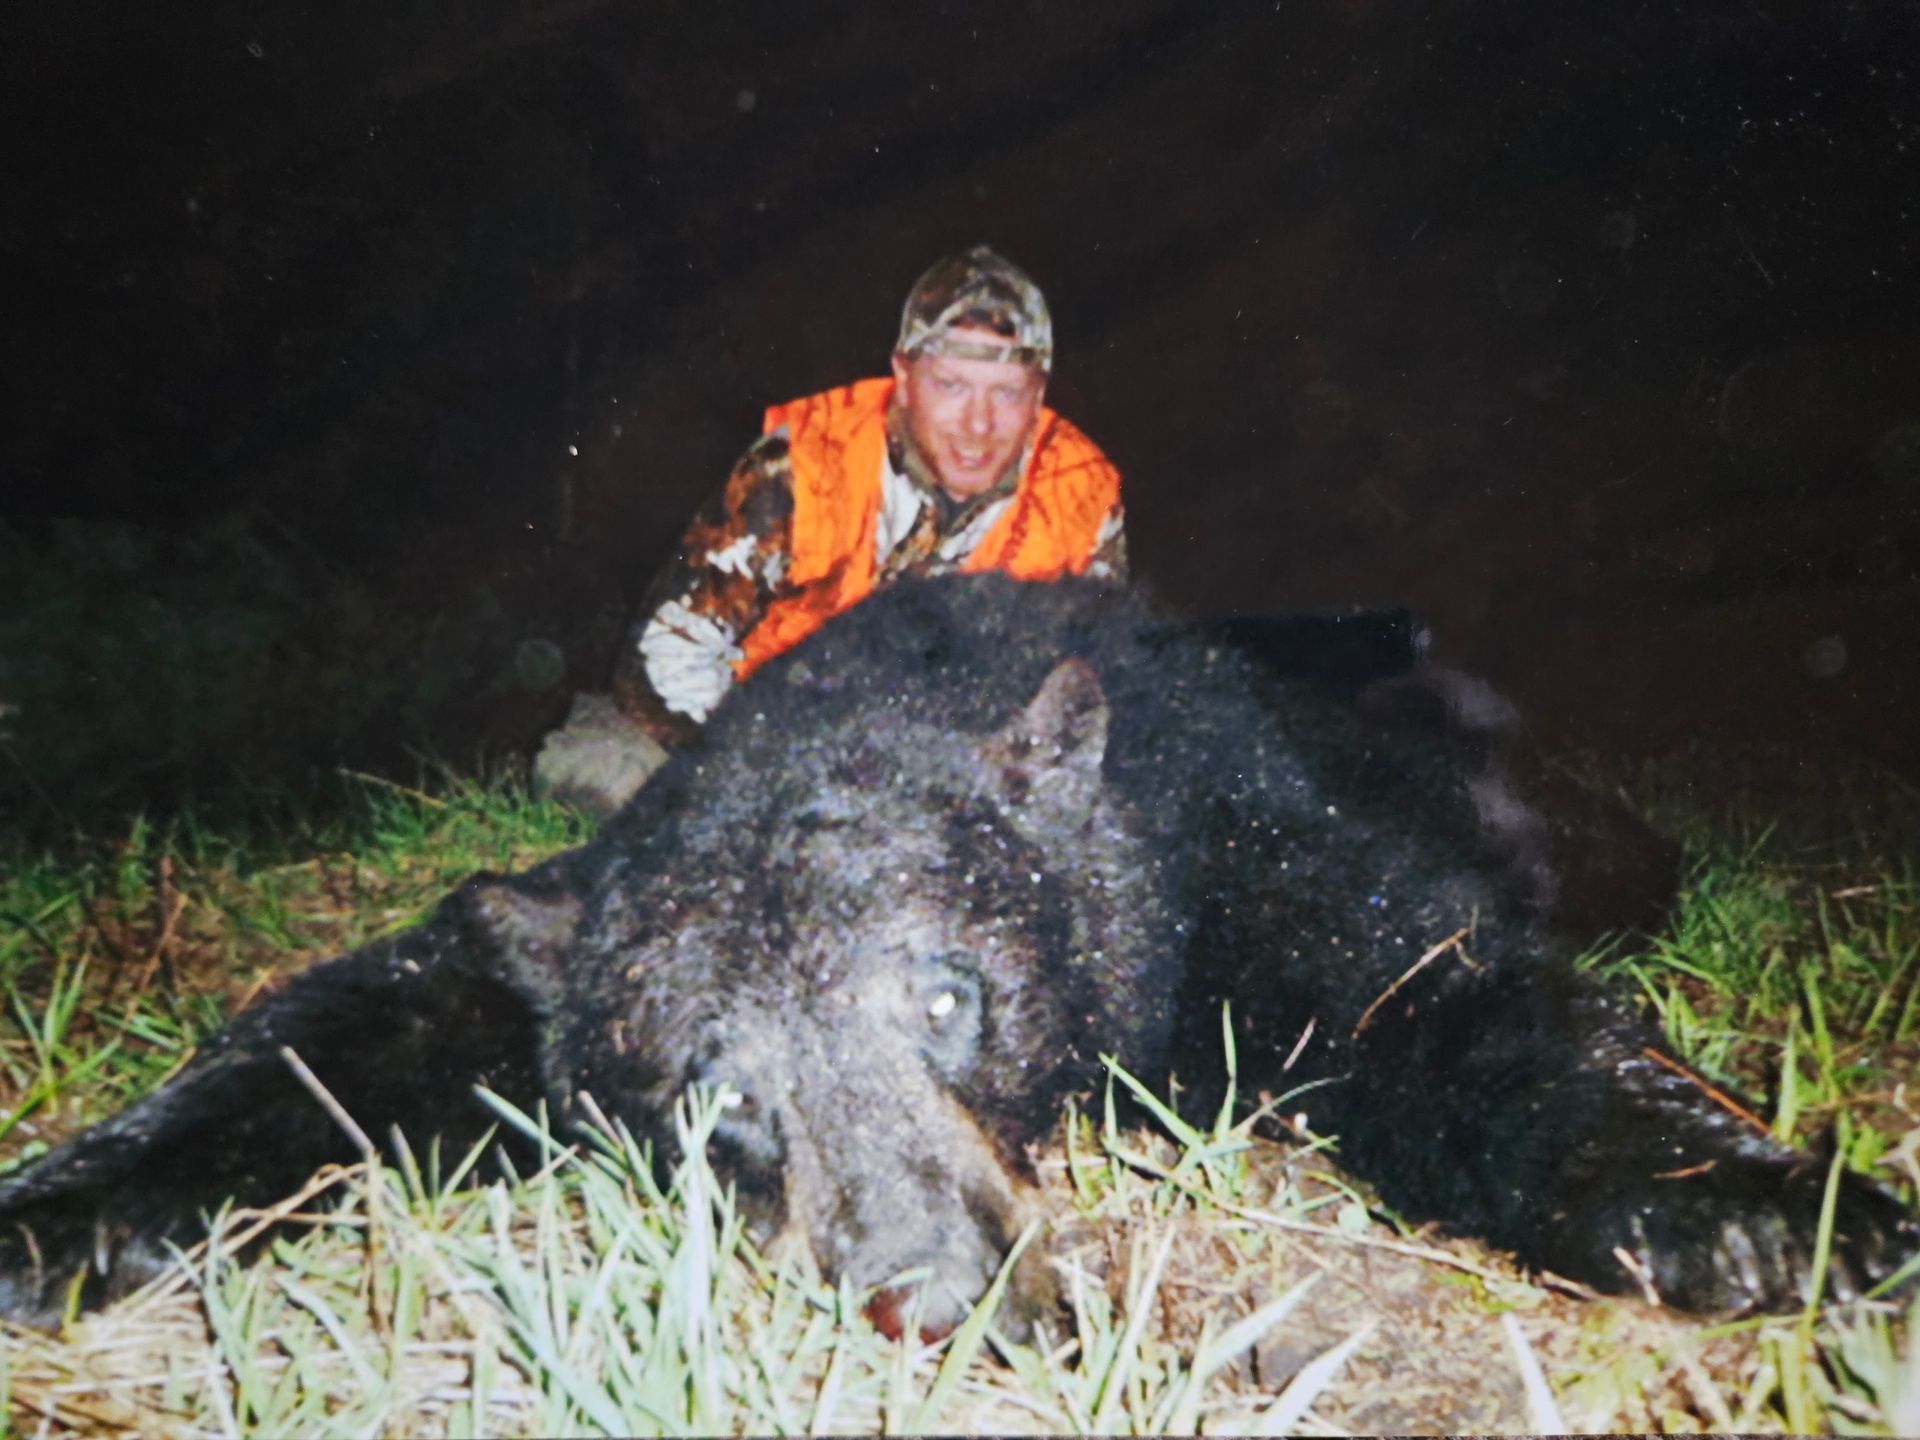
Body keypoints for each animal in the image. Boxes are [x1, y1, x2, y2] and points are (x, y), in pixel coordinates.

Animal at [0, 573, 1912, 1336]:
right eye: (712, 1096)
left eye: (944, 993)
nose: (921, 1287)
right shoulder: (553, 932)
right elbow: (358, 1023)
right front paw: (60, 1213)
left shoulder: (1230, 851)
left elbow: (1433, 993)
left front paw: (1772, 1206)